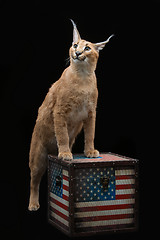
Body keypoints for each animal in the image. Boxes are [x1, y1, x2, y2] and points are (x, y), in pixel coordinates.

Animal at [28, 19, 114, 210]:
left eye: (87, 48)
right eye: (75, 45)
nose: (77, 52)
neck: (82, 76)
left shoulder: (91, 113)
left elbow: (90, 134)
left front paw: (89, 151)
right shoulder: (59, 111)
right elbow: (62, 134)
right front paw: (66, 153)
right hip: (37, 156)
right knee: (34, 180)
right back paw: (33, 203)